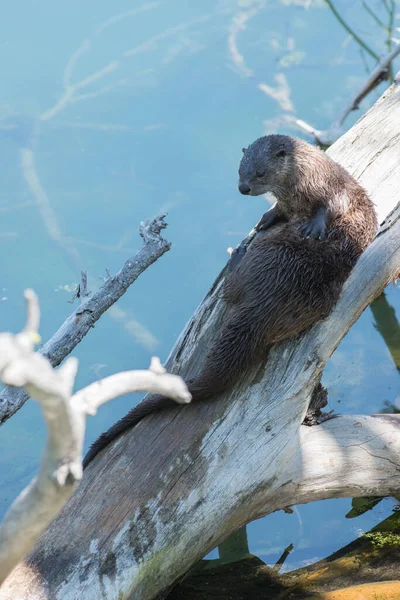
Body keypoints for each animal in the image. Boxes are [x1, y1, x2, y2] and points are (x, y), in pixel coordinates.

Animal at [83, 136, 376, 468]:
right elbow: (280, 210)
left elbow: (331, 206)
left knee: (231, 288)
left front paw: (313, 226)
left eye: (260, 173)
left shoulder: (336, 189)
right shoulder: (290, 202)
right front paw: (267, 217)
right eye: (240, 171)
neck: (304, 186)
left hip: (265, 256)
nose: (243, 188)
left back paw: (237, 254)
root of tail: (266, 302)